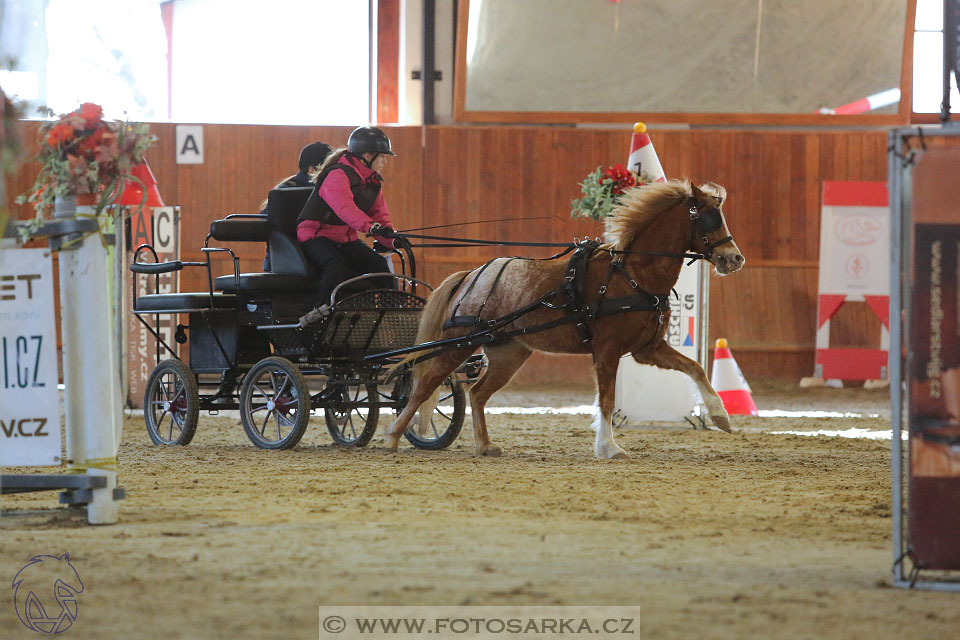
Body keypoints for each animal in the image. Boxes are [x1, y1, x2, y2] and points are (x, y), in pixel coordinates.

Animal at [382, 181, 744, 460]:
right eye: (710, 218)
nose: (735, 259)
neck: (630, 275)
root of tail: (472, 275)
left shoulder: (648, 349)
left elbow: (696, 368)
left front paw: (720, 416)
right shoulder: (607, 350)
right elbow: (607, 399)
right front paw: (608, 447)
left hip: (508, 353)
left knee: (478, 394)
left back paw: (485, 445)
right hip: (459, 342)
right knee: (425, 385)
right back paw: (393, 435)